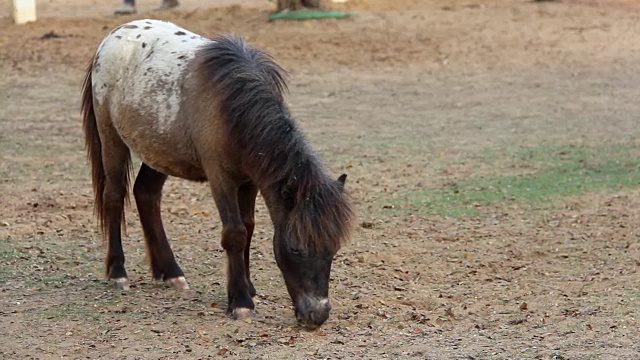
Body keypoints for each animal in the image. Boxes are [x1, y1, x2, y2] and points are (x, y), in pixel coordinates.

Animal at [80, 19, 356, 330]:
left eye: (333, 249)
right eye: (296, 248)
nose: (317, 315)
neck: (232, 108)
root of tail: (112, 37)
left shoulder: (250, 181)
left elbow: (248, 228)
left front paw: (247, 287)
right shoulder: (221, 179)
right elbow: (234, 233)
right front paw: (241, 302)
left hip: (159, 149)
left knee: (146, 195)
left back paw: (170, 272)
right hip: (111, 138)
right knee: (114, 197)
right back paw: (118, 272)